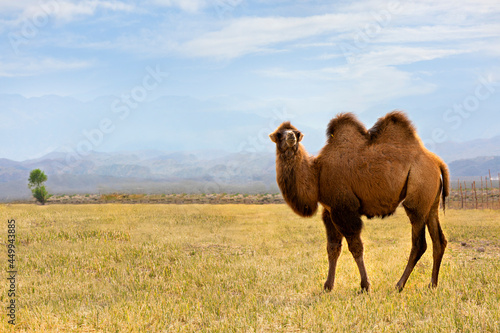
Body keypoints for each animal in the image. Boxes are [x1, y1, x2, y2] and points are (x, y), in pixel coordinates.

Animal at [270, 111, 450, 290]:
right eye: (279, 134)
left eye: (297, 133)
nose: (291, 137)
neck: (317, 174)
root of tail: (437, 162)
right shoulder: (329, 211)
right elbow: (332, 248)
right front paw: (328, 286)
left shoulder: (344, 209)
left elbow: (356, 247)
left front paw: (365, 285)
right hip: (431, 202)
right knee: (439, 241)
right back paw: (432, 284)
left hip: (417, 197)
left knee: (419, 242)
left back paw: (399, 285)